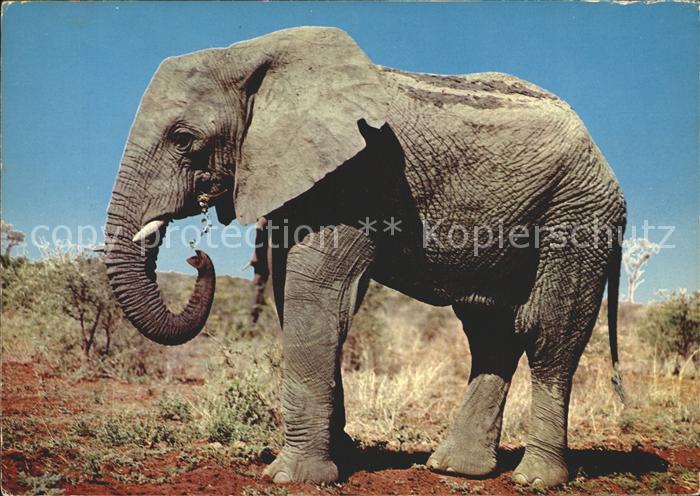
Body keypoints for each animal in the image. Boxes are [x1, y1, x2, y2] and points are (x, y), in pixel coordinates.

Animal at [104, 27, 626, 487]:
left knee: (548, 333)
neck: (249, 55)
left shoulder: (358, 177)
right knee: (490, 332)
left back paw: (534, 479)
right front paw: (342, 457)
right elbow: (296, 296)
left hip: (579, 213)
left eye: (183, 138)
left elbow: (315, 297)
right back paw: (456, 469)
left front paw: (294, 477)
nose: (196, 258)